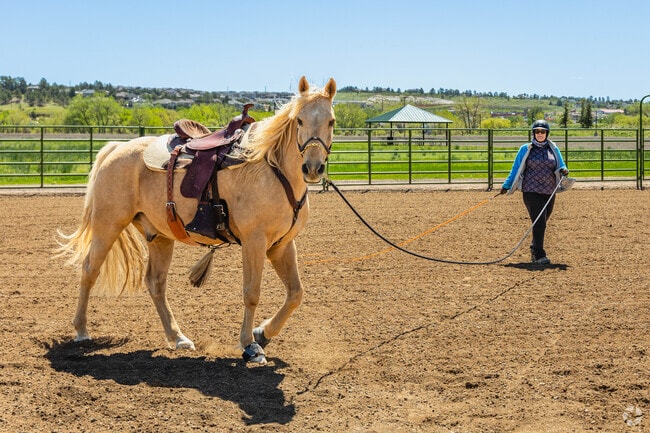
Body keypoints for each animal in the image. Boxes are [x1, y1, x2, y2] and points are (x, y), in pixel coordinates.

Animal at [57, 76, 337, 364]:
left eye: (331, 121)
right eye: (299, 120)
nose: (312, 168)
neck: (272, 168)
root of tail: (116, 148)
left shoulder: (281, 245)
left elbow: (296, 293)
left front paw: (263, 333)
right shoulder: (254, 242)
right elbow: (252, 293)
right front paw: (249, 345)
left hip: (160, 236)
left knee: (156, 283)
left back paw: (178, 337)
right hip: (108, 224)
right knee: (89, 270)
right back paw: (81, 329)